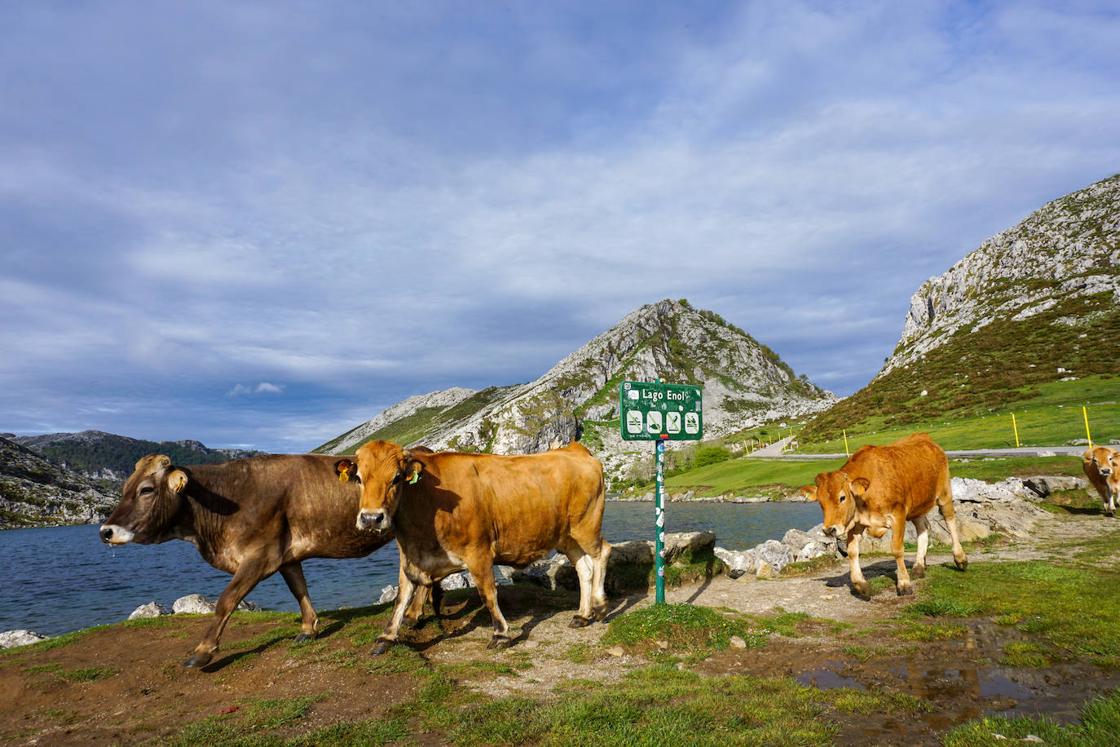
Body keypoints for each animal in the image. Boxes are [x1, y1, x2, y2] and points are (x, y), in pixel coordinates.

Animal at [100, 452, 434, 667]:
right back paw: (416, 612)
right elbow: (299, 589)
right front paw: (308, 629)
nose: (105, 531)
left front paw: (203, 651)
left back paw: (412, 614)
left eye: (146, 489)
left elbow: (226, 600)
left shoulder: (259, 556)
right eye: (124, 488)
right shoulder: (285, 555)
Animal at [336, 441, 613, 649]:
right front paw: (387, 636)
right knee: (584, 569)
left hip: (586, 525)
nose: (371, 518)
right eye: (359, 478)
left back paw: (600, 606)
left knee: (602, 553)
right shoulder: (410, 556)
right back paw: (581, 615)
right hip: (567, 536)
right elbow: (402, 597)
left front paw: (500, 634)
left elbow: (488, 593)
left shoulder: (478, 550)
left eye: (396, 478)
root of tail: (575, 449)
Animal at [801, 434, 967, 600]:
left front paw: (904, 584)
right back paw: (919, 567)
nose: (829, 530)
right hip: (917, 505)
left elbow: (897, 549)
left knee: (950, 520)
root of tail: (924, 437)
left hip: (944, 493)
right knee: (923, 527)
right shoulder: (857, 523)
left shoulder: (898, 515)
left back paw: (960, 559)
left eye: (842, 497)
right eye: (820, 502)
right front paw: (861, 586)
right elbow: (852, 551)